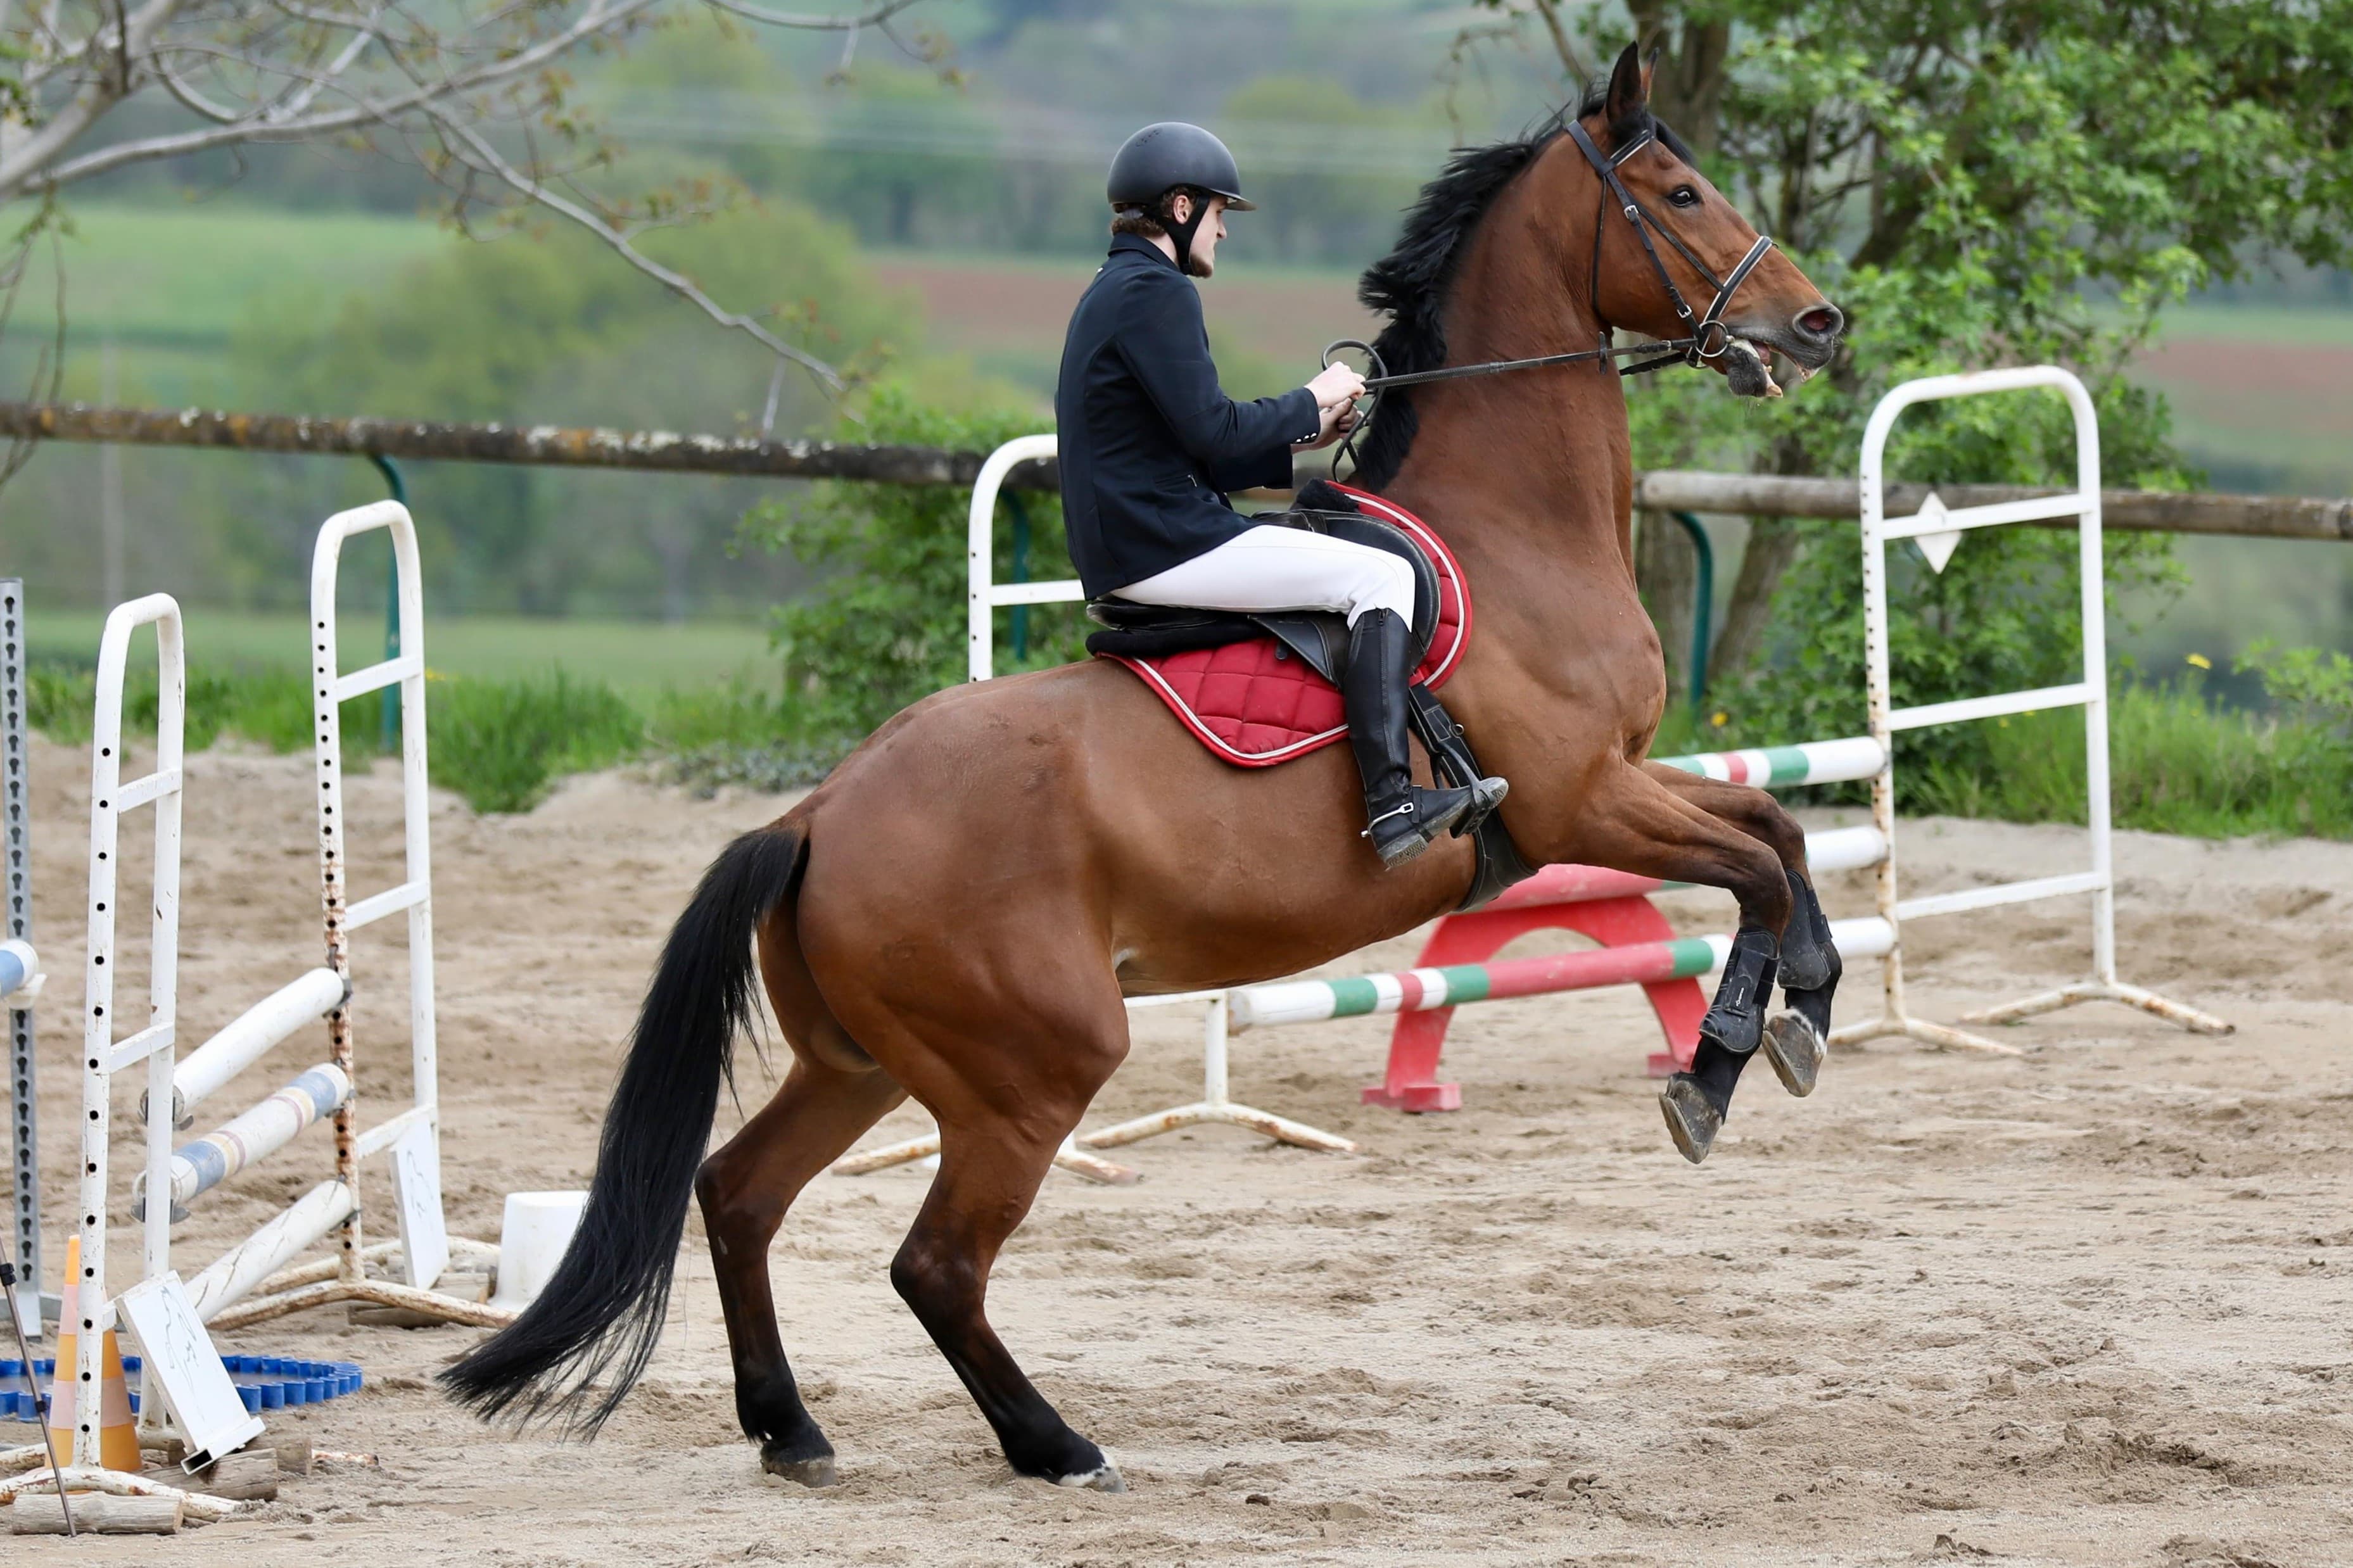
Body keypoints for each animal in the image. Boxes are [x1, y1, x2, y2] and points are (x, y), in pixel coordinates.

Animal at [442, 44, 1847, 1493]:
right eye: (1680, 193)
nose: (1818, 324)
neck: (1512, 530)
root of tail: (820, 811)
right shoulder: (1582, 800)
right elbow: (1751, 865)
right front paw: (1717, 1069)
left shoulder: (1629, 777)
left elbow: (1780, 834)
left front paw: (1802, 1011)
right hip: (1033, 1070)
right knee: (934, 1263)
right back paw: (1053, 1443)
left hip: (862, 1063)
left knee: (740, 1192)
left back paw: (794, 1429)